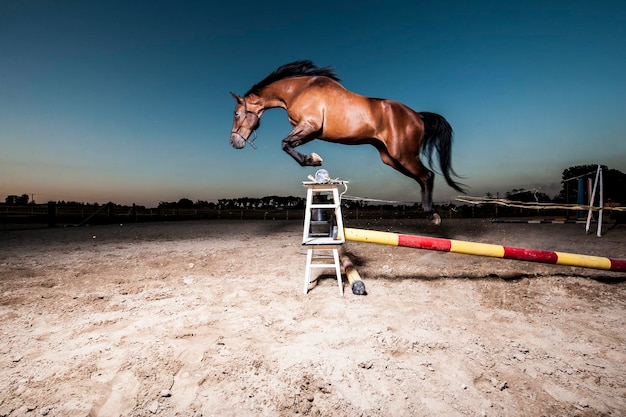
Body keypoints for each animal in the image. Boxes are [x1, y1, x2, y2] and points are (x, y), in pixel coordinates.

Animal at [229, 59, 464, 223]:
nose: (234, 142)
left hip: (403, 154)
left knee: (427, 175)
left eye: (236, 113)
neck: (298, 90)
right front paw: (313, 160)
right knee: (422, 178)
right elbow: (289, 145)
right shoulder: (309, 131)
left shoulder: (310, 126)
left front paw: (314, 160)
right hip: (391, 158)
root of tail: (418, 116)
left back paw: (432, 214)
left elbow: (285, 144)